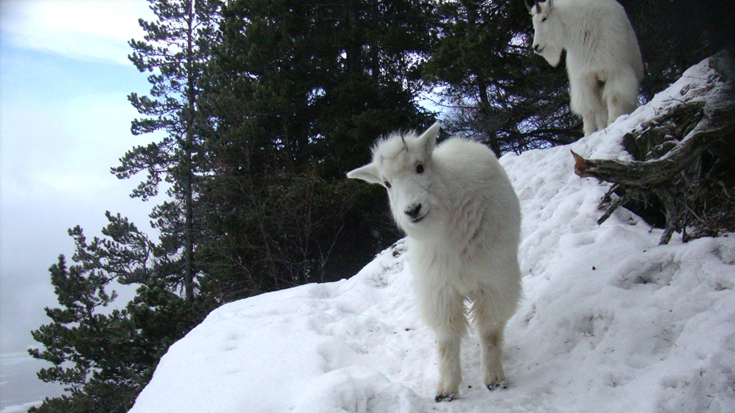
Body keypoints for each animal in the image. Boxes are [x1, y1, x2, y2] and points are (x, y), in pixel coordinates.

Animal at [347, 123, 522, 402]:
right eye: (387, 183)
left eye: (420, 167)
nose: (412, 209)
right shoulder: (440, 290)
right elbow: (447, 340)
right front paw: (446, 389)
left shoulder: (493, 281)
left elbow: (490, 331)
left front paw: (494, 378)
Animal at [527, 0, 644, 136]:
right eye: (533, 23)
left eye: (544, 18)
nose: (536, 47)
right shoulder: (585, 78)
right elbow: (588, 110)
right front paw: (588, 134)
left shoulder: (614, 71)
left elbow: (614, 98)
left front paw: (613, 122)